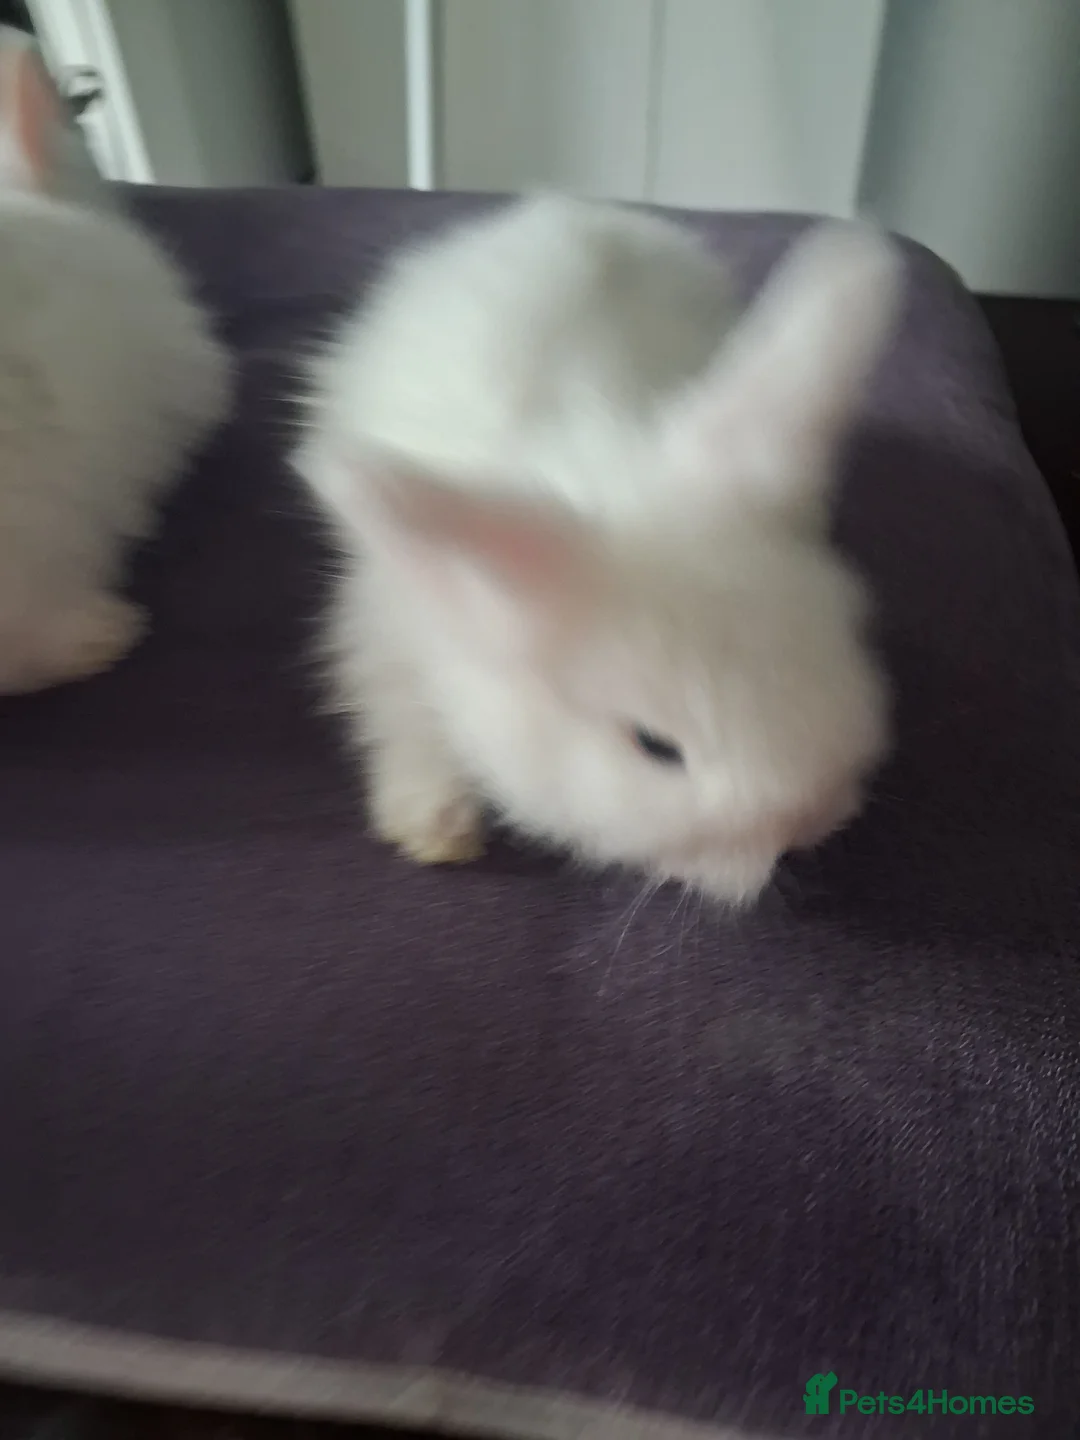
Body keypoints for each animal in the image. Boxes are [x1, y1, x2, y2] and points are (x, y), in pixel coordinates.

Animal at [293, 194, 902, 903]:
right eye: (654, 747)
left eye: (848, 638)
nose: (808, 821)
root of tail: (564, 208)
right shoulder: (383, 636)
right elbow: (402, 720)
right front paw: (437, 827)